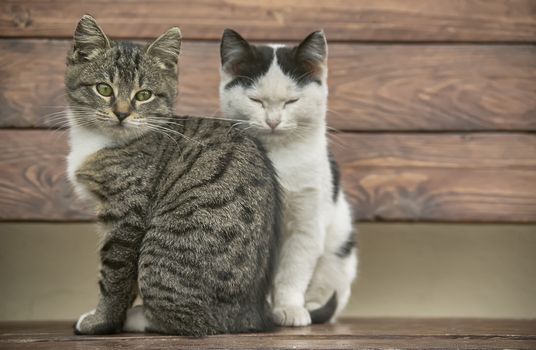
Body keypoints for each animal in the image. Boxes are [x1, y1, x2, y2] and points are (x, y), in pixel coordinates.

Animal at [66, 15, 280, 336]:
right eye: (103, 89)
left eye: (143, 95)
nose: (121, 113)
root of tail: (249, 316)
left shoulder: (126, 216)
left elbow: (115, 276)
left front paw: (102, 321)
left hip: (162, 251)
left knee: (190, 322)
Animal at [220, 29, 358, 326]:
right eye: (255, 100)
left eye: (292, 101)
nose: (272, 121)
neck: (279, 155)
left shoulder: (307, 224)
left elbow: (293, 273)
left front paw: (290, 308)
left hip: (339, 249)